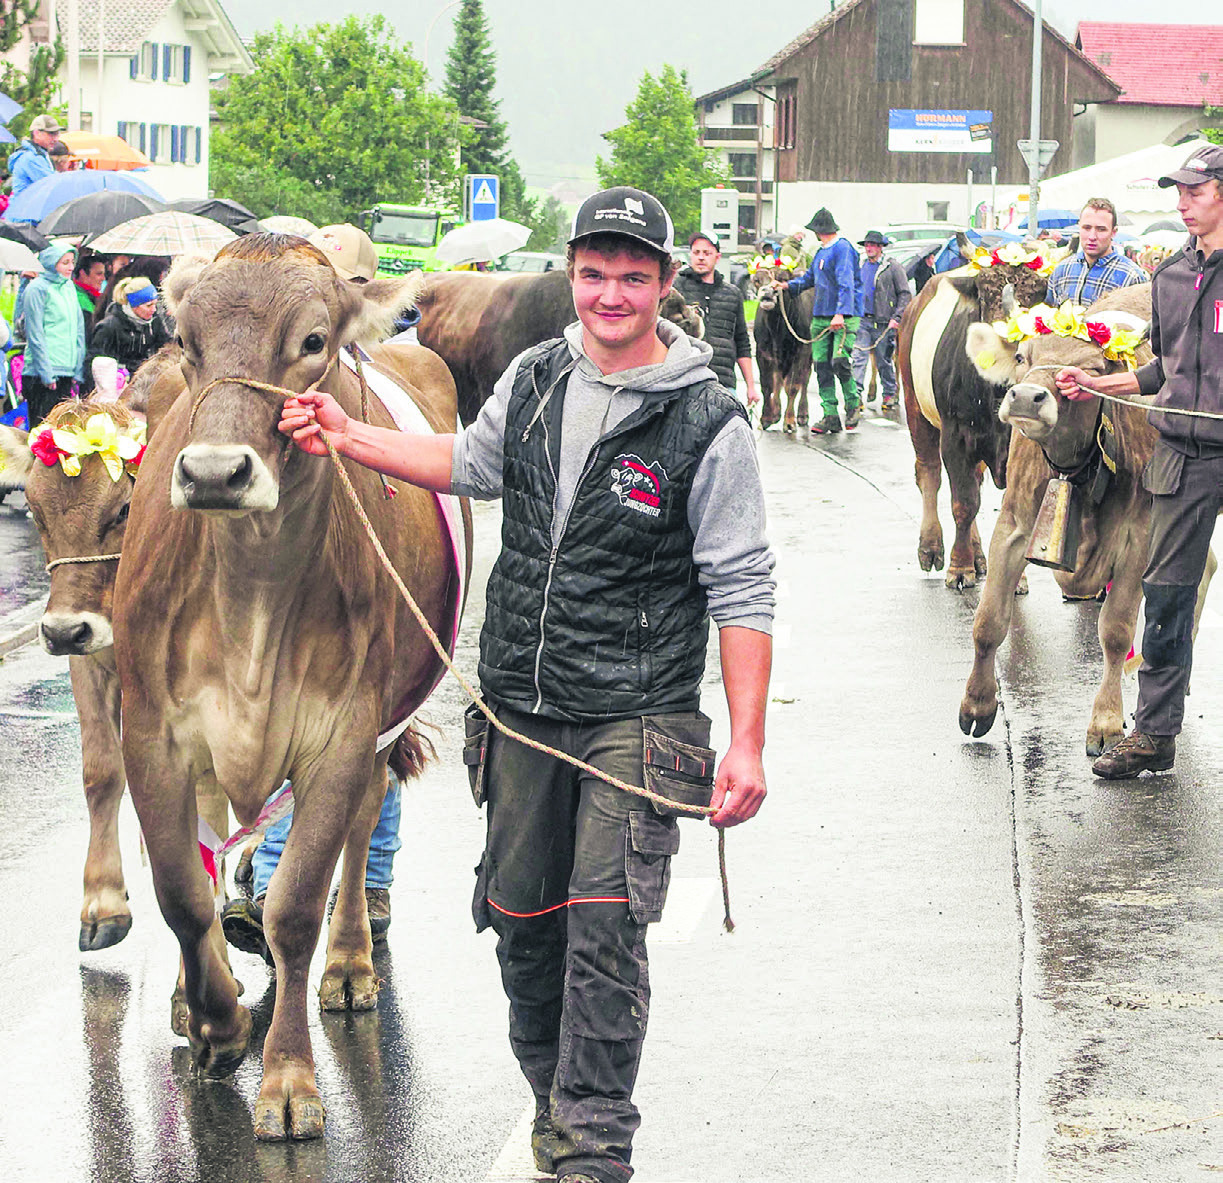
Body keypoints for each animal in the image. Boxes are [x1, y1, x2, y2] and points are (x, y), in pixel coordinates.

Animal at [112, 236, 472, 1140]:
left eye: (312, 342)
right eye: (188, 341)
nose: (213, 473)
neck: (250, 593)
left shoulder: (343, 733)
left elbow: (295, 903)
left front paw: (285, 1078)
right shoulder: (153, 733)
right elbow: (180, 890)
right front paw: (214, 1021)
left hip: (383, 723)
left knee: (361, 827)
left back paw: (349, 964)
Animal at [953, 282, 1213, 753]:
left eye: (1090, 369)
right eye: (1023, 357)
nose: (1027, 399)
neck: (1077, 466)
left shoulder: (1139, 540)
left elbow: (1115, 630)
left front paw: (1106, 723)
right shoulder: (1013, 526)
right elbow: (988, 621)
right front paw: (977, 705)